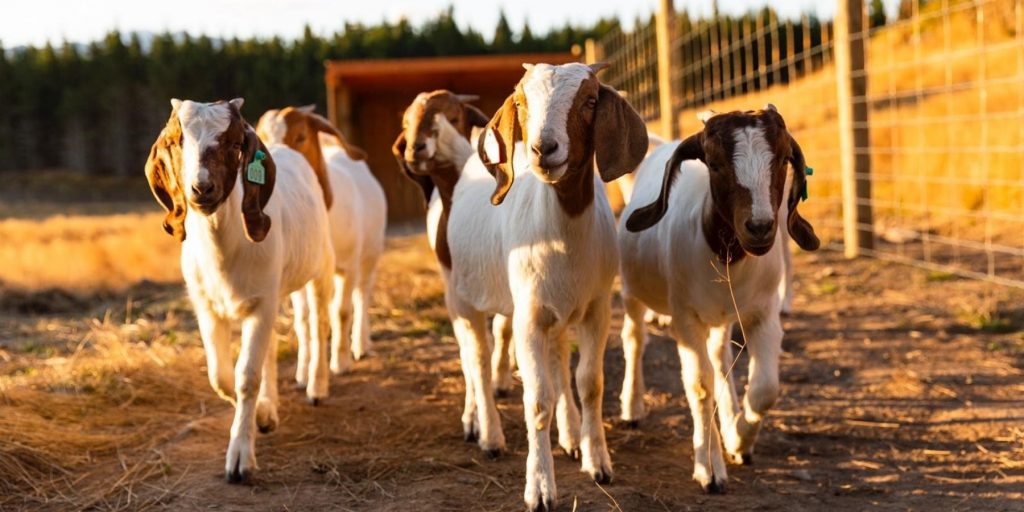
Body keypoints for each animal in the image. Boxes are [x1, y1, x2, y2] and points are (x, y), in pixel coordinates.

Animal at [145, 98, 335, 482]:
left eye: (234, 144)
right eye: (177, 142)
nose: (202, 189)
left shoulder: (262, 304)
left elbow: (247, 375)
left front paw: (240, 457)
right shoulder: (207, 306)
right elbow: (221, 376)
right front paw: (262, 414)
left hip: (319, 266)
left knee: (319, 321)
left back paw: (317, 385)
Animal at [256, 106, 387, 379]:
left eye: (301, 136)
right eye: (261, 137)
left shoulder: (348, 265)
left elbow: (342, 311)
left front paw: (341, 362)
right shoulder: (298, 275)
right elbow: (304, 319)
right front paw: (304, 371)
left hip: (371, 252)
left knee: (362, 293)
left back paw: (361, 344)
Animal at [390, 90, 518, 398]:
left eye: (453, 117)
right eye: (406, 124)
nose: (416, 149)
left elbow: (502, 328)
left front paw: (500, 379)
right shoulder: (453, 287)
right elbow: (469, 350)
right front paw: (473, 407)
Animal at [446, 62, 647, 510]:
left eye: (589, 100)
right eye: (521, 103)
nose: (543, 148)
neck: (563, 235)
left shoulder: (595, 310)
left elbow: (588, 384)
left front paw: (597, 460)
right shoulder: (528, 317)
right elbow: (537, 398)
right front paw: (539, 487)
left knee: (557, 366)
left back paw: (570, 436)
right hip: (463, 300)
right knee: (477, 362)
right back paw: (488, 434)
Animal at [617, 105, 819, 493]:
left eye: (782, 159)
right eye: (713, 163)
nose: (759, 227)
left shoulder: (764, 314)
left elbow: (765, 388)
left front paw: (739, 439)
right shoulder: (685, 317)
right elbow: (699, 385)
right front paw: (709, 467)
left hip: (724, 317)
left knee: (721, 359)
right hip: (634, 292)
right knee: (634, 338)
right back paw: (632, 407)